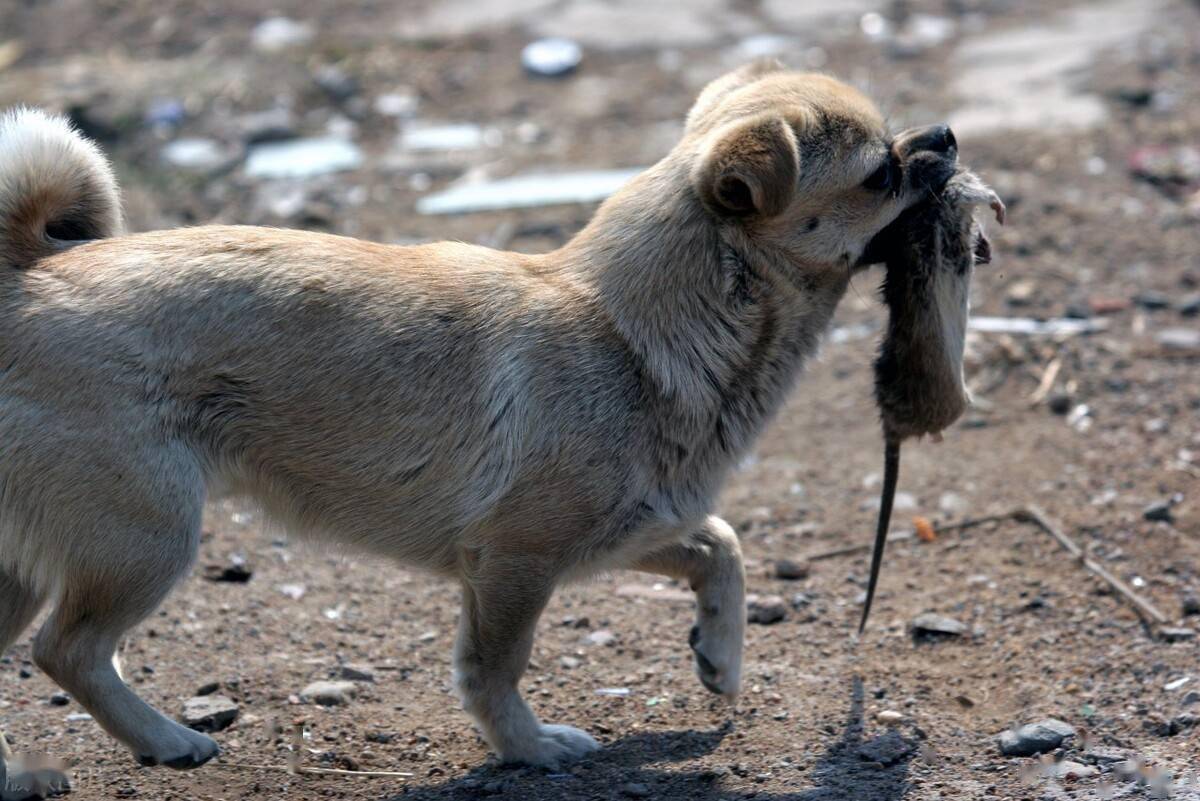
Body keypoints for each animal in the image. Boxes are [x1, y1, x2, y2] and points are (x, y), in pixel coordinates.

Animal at [0, 62, 955, 767]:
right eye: (879, 173)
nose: (944, 136)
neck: (635, 328)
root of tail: (25, 281)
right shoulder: (517, 562)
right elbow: (496, 668)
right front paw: (530, 748)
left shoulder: (626, 527)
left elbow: (722, 545)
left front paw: (720, 657)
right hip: (148, 535)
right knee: (68, 651)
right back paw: (166, 739)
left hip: (34, 562)